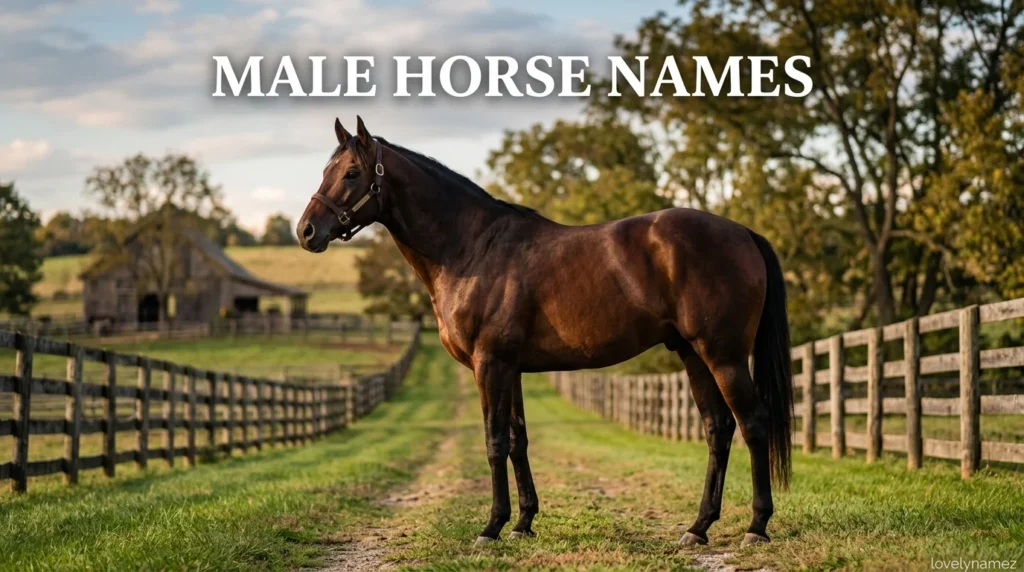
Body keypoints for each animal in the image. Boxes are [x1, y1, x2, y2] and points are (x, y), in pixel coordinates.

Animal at [297, 116, 793, 548]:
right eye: (325, 170)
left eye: (352, 172)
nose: (305, 231)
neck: (472, 249)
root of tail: (744, 233)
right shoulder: (511, 367)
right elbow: (518, 440)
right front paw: (523, 523)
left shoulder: (490, 364)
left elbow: (494, 441)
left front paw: (491, 528)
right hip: (692, 354)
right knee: (718, 430)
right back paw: (698, 527)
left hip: (724, 356)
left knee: (753, 423)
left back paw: (756, 527)